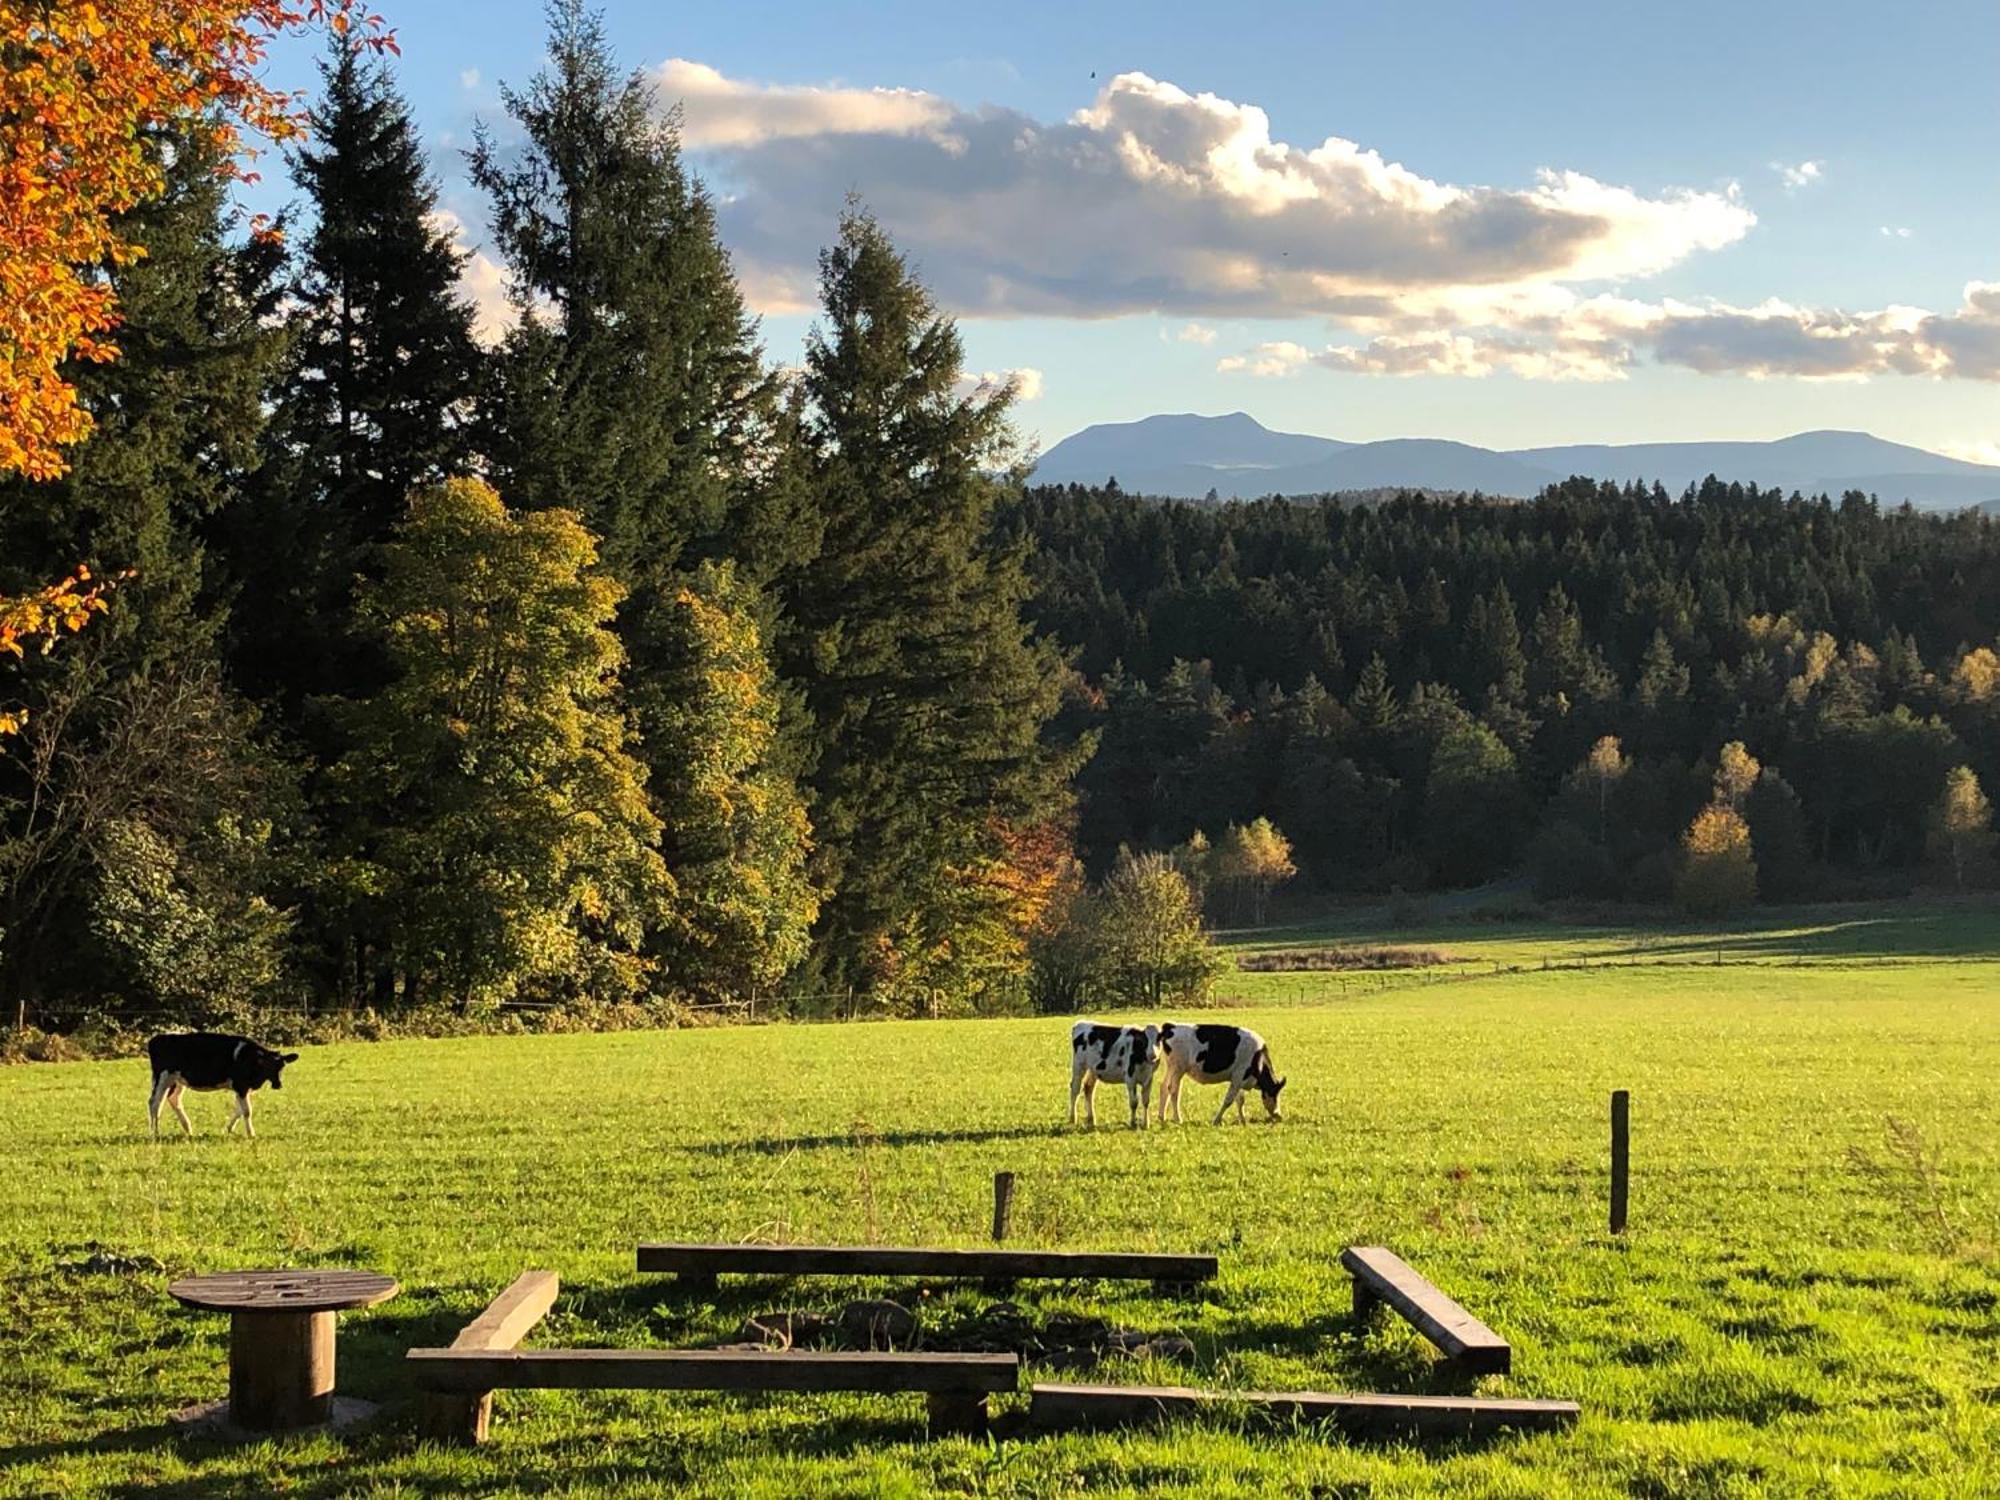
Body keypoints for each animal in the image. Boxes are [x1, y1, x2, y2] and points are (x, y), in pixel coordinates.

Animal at [148, 1032, 296, 1136]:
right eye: (267, 1066)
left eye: (282, 1066)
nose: (278, 1085)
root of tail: (157, 1038)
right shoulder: (241, 1086)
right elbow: (247, 1111)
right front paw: (251, 1134)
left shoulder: (243, 1089)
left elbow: (239, 1110)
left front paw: (229, 1129)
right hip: (163, 1077)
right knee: (155, 1102)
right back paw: (155, 1132)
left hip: (177, 1080)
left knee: (173, 1099)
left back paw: (188, 1129)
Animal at [1152, 1024, 1288, 1128]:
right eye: (1274, 1093)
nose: (1278, 1115)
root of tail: (1170, 1026)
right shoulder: (1239, 1076)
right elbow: (1228, 1100)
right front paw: (1216, 1120)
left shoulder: (1238, 1079)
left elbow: (1240, 1100)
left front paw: (1243, 1120)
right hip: (1178, 1068)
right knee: (1173, 1090)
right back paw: (1178, 1119)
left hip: (1171, 1068)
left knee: (1164, 1086)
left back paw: (1162, 1117)